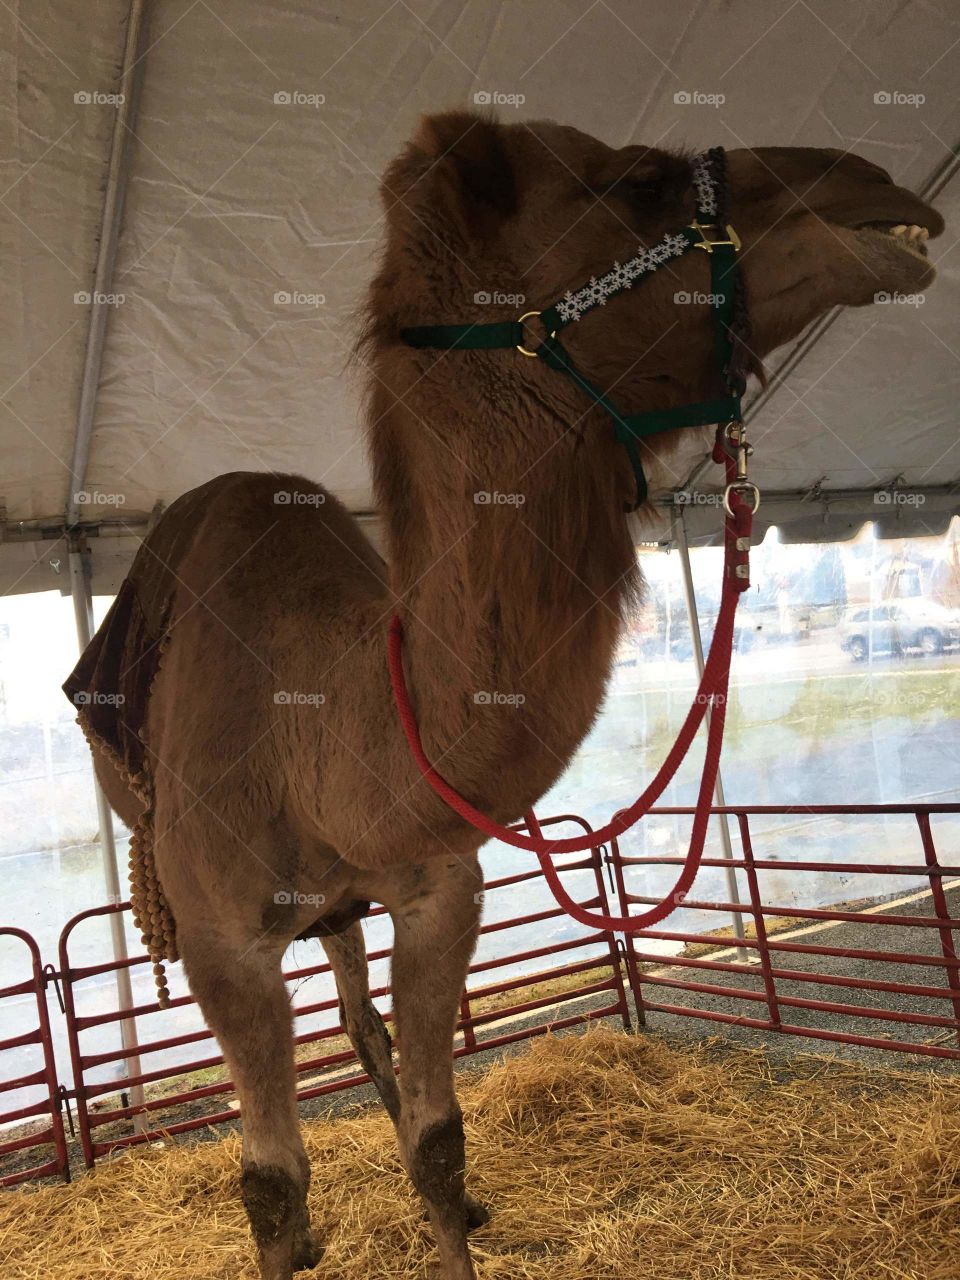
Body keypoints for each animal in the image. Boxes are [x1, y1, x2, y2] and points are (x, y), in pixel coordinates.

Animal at [65, 112, 941, 1279]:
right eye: (640, 179)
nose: (877, 189)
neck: (313, 728)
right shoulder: (221, 944)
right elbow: (267, 1183)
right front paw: (295, 1228)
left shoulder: (440, 890)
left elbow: (441, 1139)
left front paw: (454, 1208)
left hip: (343, 908)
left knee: (360, 1015)